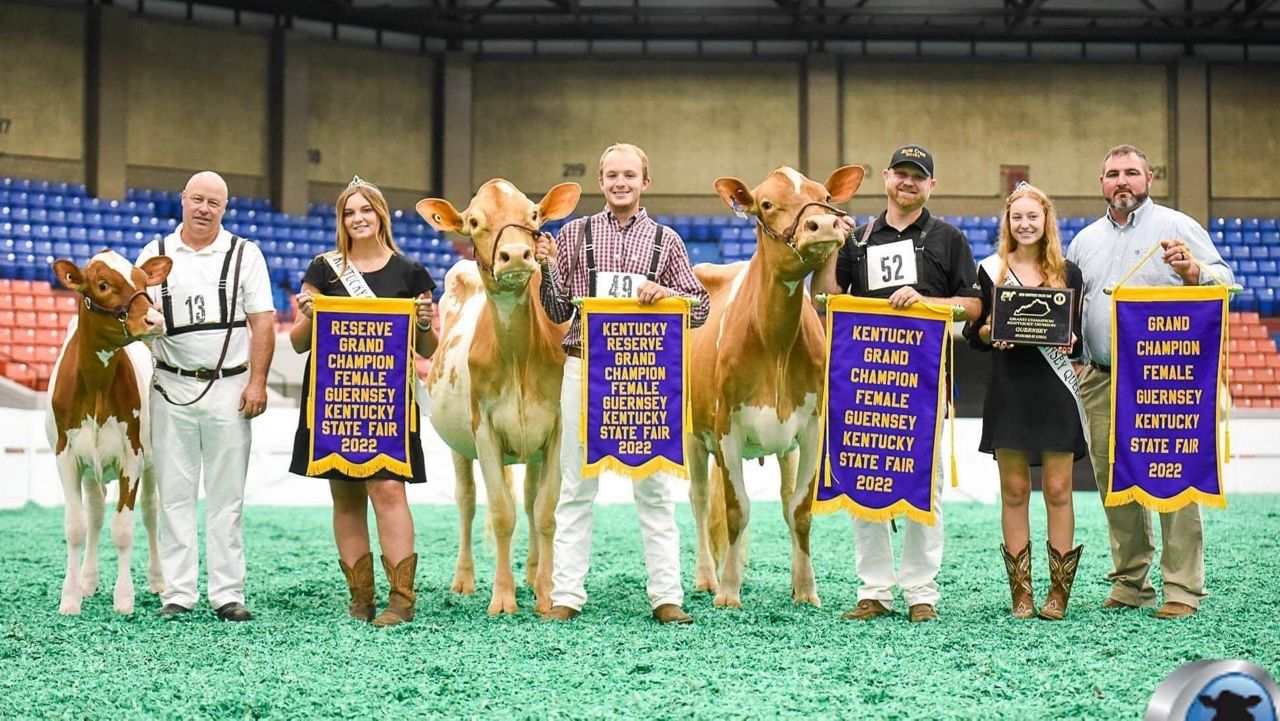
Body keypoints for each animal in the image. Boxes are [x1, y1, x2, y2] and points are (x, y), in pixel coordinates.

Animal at [45, 249, 172, 614]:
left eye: (143, 280)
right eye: (102, 285)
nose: (155, 320)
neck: (97, 388)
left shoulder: (133, 457)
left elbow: (124, 529)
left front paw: (124, 598)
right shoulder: (65, 456)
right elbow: (76, 526)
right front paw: (70, 597)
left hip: (152, 464)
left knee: (150, 515)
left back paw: (158, 580)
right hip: (91, 469)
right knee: (96, 514)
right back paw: (88, 581)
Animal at [419, 179, 581, 614]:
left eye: (534, 215)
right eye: (474, 221)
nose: (516, 255)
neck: (518, 355)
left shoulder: (558, 428)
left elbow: (544, 511)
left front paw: (547, 594)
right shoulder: (484, 430)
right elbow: (502, 512)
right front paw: (503, 597)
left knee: (529, 498)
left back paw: (534, 574)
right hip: (457, 443)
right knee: (466, 500)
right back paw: (464, 579)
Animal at [686, 165, 865, 609]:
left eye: (823, 196)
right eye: (765, 203)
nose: (823, 225)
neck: (775, 343)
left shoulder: (812, 427)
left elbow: (799, 510)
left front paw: (806, 589)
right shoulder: (726, 429)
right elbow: (736, 509)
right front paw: (728, 591)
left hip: (784, 446)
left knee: (782, 498)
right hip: (693, 435)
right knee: (700, 501)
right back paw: (707, 577)